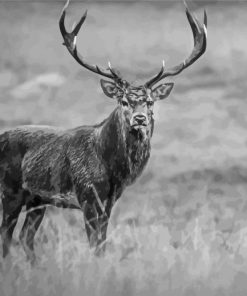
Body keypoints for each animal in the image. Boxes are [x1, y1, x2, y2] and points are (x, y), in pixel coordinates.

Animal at [0, 0, 206, 264]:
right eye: (124, 101)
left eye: (150, 102)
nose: (139, 118)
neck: (112, 168)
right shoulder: (87, 195)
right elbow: (93, 245)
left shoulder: (109, 201)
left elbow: (102, 245)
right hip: (10, 190)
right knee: (6, 238)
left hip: (37, 199)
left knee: (26, 237)